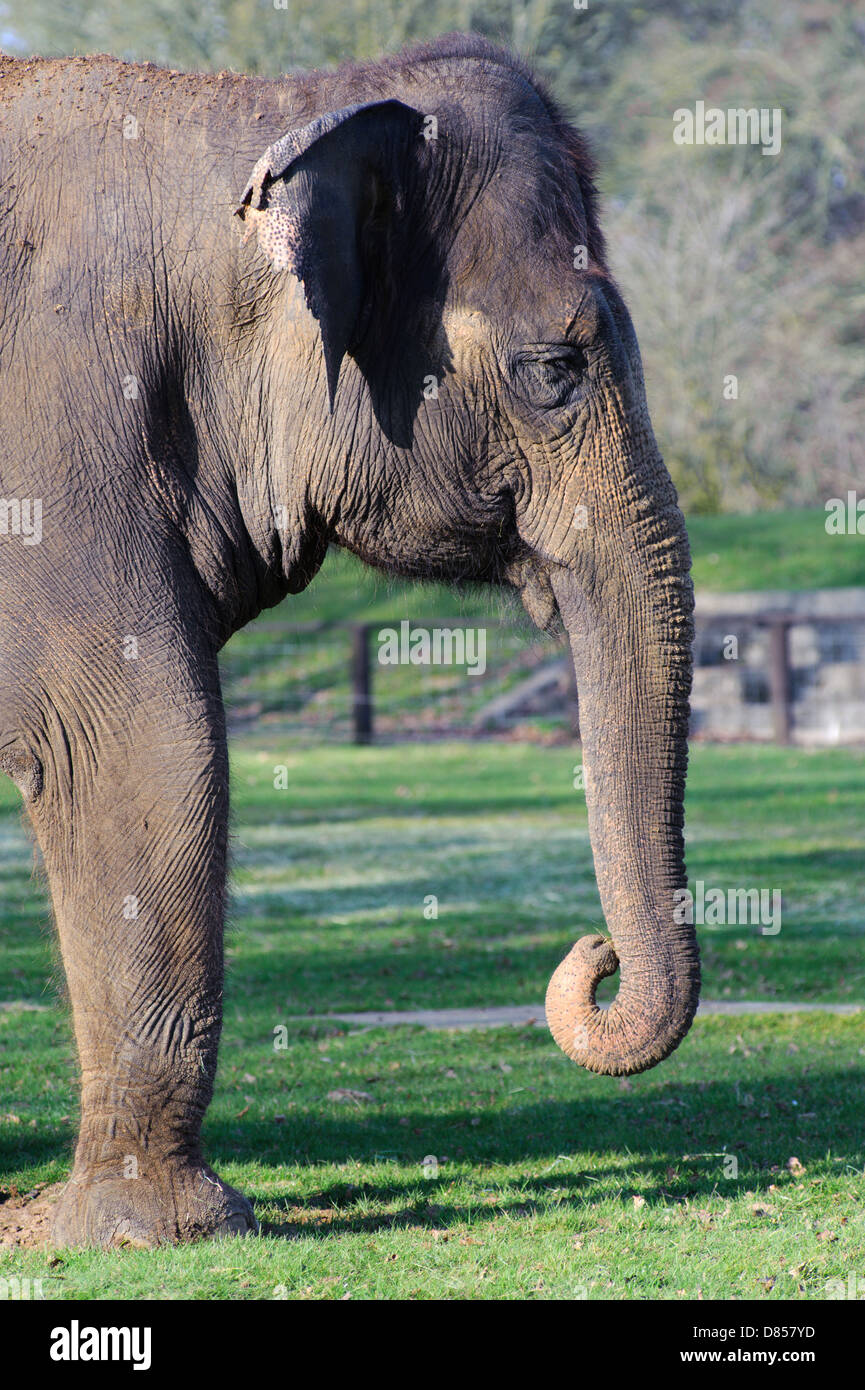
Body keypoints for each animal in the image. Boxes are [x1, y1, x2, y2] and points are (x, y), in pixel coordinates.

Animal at [0, 33, 699, 1248]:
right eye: (554, 370)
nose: (595, 957)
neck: (268, 105)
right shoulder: (58, 441)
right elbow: (139, 742)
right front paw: (155, 1232)